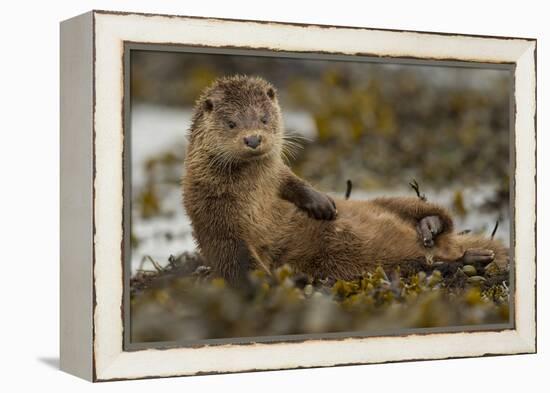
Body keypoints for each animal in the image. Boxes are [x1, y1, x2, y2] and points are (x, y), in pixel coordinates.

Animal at [183, 75, 512, 286]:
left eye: (264, 118)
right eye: (231, 123)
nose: (253, 138)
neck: (253, 196)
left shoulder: (276, 176)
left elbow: (292, 181)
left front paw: (322, 206)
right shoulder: (214, 220)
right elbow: (238, 263)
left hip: (393, 200)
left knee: (440, 217)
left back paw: (429, 227)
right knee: (424, 264)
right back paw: (469, 259)